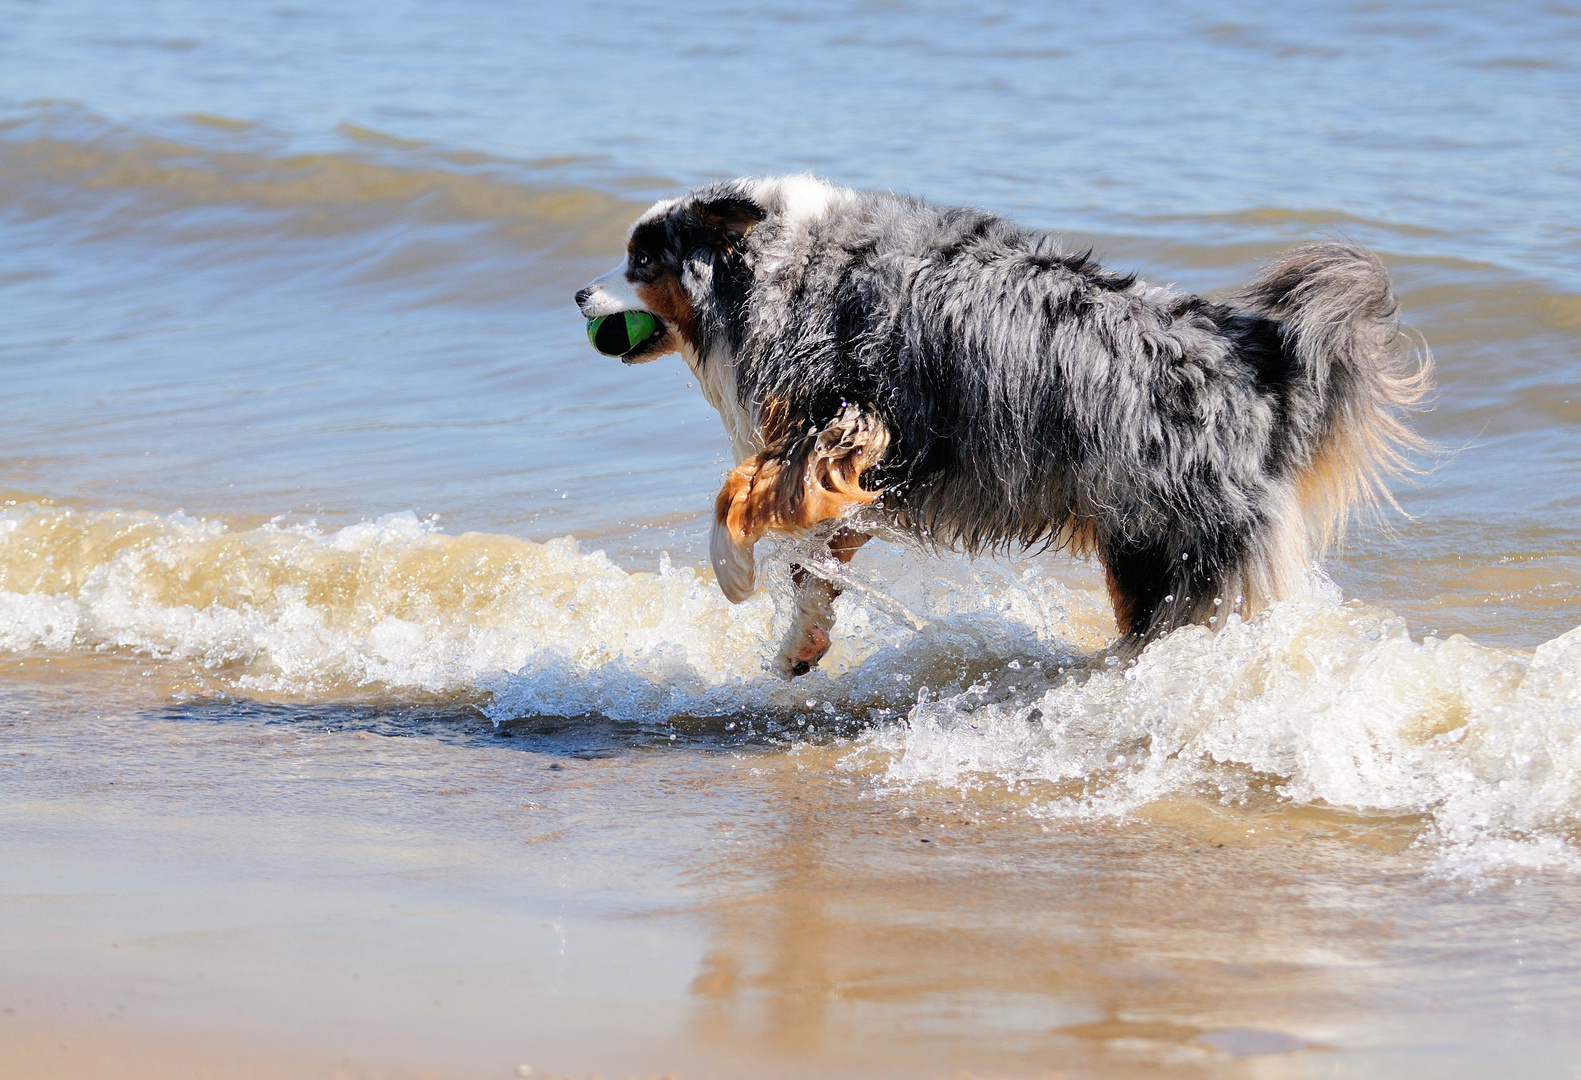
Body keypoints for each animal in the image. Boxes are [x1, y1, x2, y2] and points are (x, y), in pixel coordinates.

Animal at [575, 175, 1429, 683]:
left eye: (642, 261)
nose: (579, 293)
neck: (779, 266)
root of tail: (1255, 361)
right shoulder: (865, 466)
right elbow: (814, 563)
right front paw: (800, 645)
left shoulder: (853, 421)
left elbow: (735, 493)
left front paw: (731, 573)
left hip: (1179, 544)